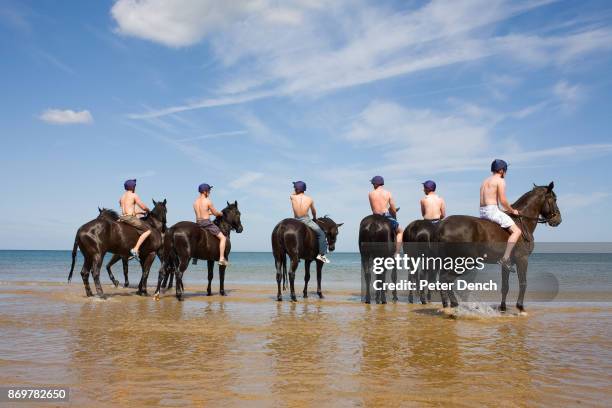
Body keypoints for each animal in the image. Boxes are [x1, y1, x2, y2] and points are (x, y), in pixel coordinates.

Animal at [436, 183, 560, 314]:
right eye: (554, 199)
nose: (558, 219)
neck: (522, 223)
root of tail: (442, 226)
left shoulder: (506, 264)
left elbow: (505, 286)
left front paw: (503, 308)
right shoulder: (522, 259)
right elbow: (523, 283)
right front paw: (520, 307)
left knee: (444, 281)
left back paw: (449, 305)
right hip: (463, 263)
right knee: (446, 280)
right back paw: (451, 305)